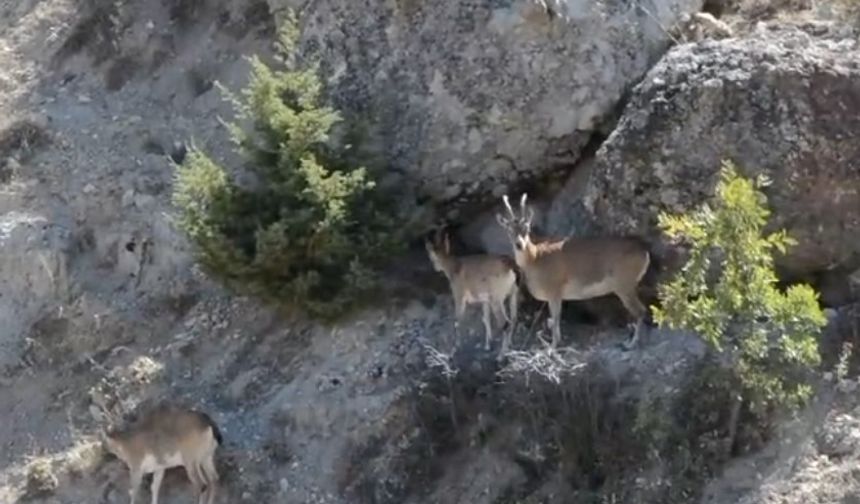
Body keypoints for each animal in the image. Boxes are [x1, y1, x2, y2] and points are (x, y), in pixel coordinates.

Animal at [426, 226, 520, 356]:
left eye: (432, 258)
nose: (435, 268)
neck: (454, 268)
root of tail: (509, 267)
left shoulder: (459, 295)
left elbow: (457, 320)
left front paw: (455, 348)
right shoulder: (485, 300)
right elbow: (485, 319)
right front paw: (487, 345)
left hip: (497, 298)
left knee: (505, 323)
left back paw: (501, 355)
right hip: (513, 293)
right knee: (514, 318)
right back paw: (509, 346)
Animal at [494, 194, 648, 350]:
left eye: (527, 228)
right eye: (509, 230)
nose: (519, 245)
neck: (536, 258)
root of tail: (644, 252)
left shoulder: (554, 291)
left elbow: (556, 318)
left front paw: (552, 347)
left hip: (624, 285)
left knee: (640, 311)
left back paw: (631, 343)